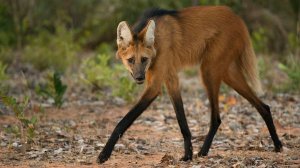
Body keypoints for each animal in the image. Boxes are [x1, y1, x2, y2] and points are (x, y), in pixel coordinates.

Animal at [97, 5, 282, 163]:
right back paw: (277, 145)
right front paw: (188, 155)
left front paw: (104, 155)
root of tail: (237, 18)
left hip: (208, 70)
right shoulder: (170, 78)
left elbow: (123, 121)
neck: (157, 41)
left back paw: (205, 151)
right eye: (130, 60)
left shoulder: (155, 85)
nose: (139, 77)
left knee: (216, 118)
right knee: (263, 106)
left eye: (144, 59)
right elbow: (182, 120)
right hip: (227, 73)